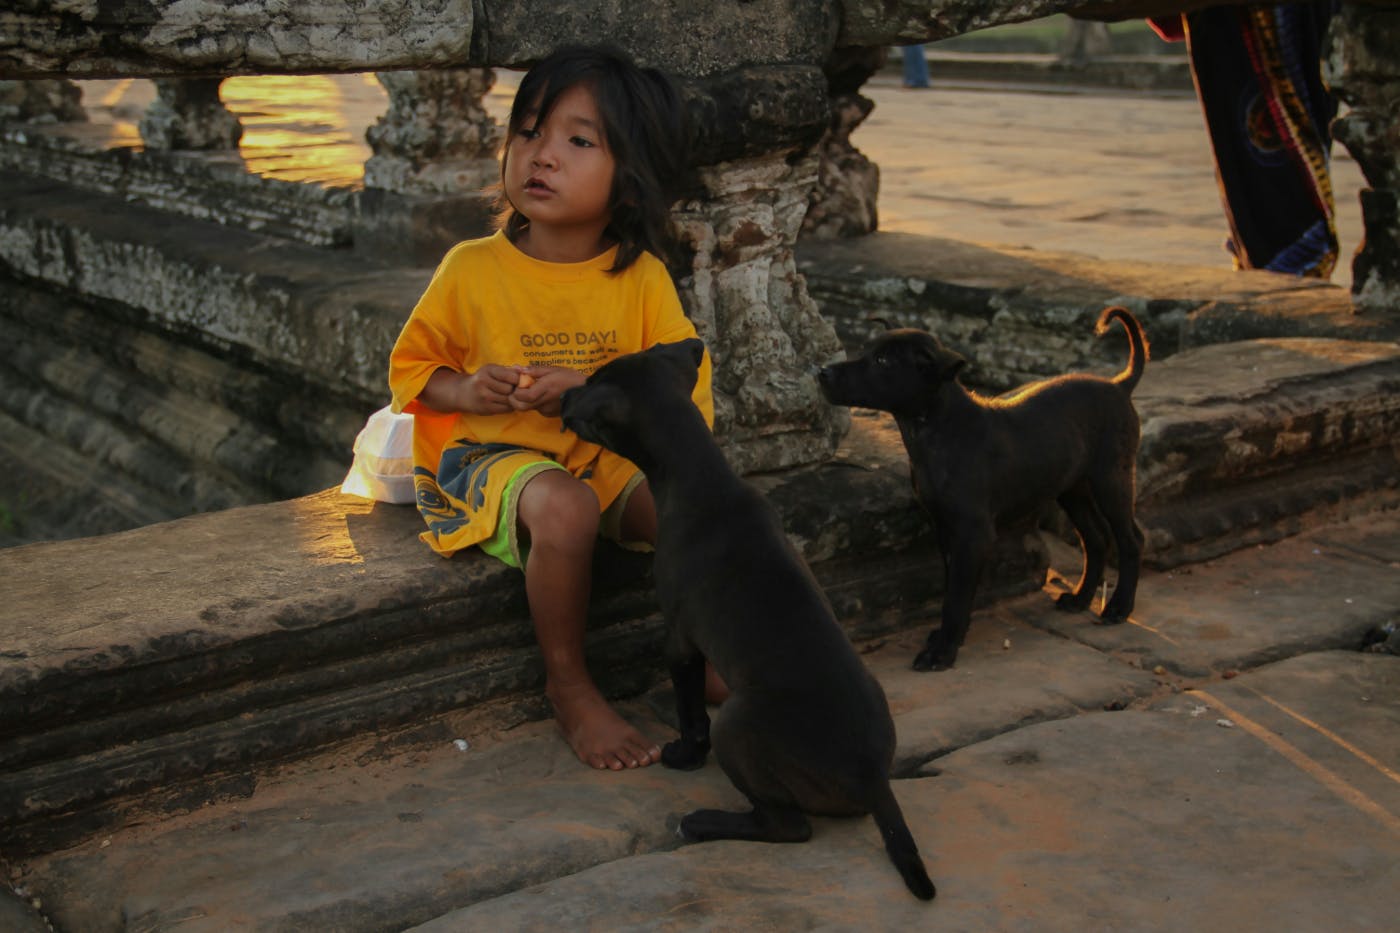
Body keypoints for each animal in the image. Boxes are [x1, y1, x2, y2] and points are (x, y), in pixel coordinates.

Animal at [554, 337, 929, 896]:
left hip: (739, 722)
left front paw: (684, 757)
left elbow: (691, 713)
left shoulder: (680, 637)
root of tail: (874, 781)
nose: (559, 396)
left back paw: (703, 822)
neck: (701, 476)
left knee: (788, 826)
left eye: (591, 383)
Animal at [817, 305, 1148, 669]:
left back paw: (1118, 607)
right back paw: (1080, 599)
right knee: (1096, 538)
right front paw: (949, 638)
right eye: (865, 350)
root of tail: (1119, 385)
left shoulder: (972, 533)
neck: (936, 429)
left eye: (883, 362)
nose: (821, 372)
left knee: (1131, 539)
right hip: (1072, 488)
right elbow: (953, 589)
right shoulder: (946, 528)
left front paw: (942, 651)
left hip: (1112, 479)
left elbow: (957, 596)